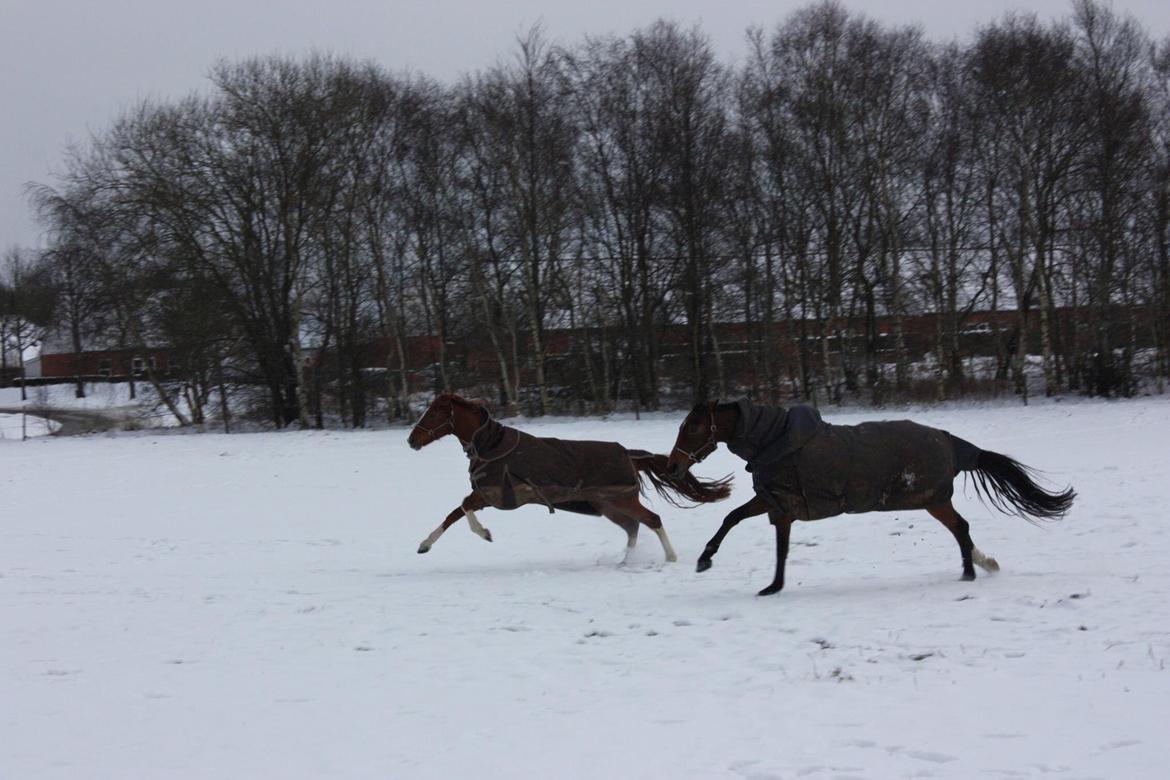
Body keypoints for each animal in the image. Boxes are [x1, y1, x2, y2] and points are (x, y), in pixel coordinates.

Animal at [407, 397, 725, 561]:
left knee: (652, 520)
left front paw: (484, 533)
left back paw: (670, 557)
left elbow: (462, 508)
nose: (411, 440)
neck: (491, 445)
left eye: (433, 413)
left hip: (622, 499)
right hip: (608, 505)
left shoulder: (496, 496)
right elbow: (454, 512)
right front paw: (424, 545)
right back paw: (626, 561)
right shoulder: (486, 496)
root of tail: (628, 454)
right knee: (633, 527)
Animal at [669, 402, 1076, 598]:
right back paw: (976, 566)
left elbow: (760, 536)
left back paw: (969, 571)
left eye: (693, 427)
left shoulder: (779, 504)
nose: (673, 465)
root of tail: (949, 441)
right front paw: (713, 563)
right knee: (962, 529)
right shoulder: (775, 503)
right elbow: (739, 522)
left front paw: (754, 580)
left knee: (960, 528)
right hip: (933, 499)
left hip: (932, 498)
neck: (776, 442)